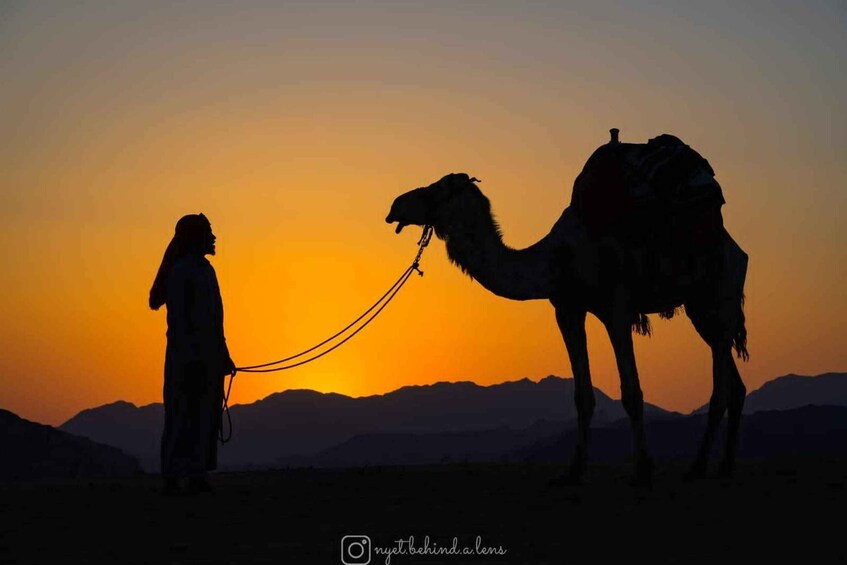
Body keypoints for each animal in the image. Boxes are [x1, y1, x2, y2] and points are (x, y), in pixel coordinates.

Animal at [385, 130, 749, 485]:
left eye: (438, 189)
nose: (395, 206)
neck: (557, 258)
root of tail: (735, 247)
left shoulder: (616, 307)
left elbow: (632, 392)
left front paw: (643, 469)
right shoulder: (567, 309)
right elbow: (582, 396)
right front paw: (573, 470)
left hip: (721, 290)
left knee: (720, 384)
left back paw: (699, 466)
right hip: (700, 308)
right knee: (734, 382)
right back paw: (724, 465)